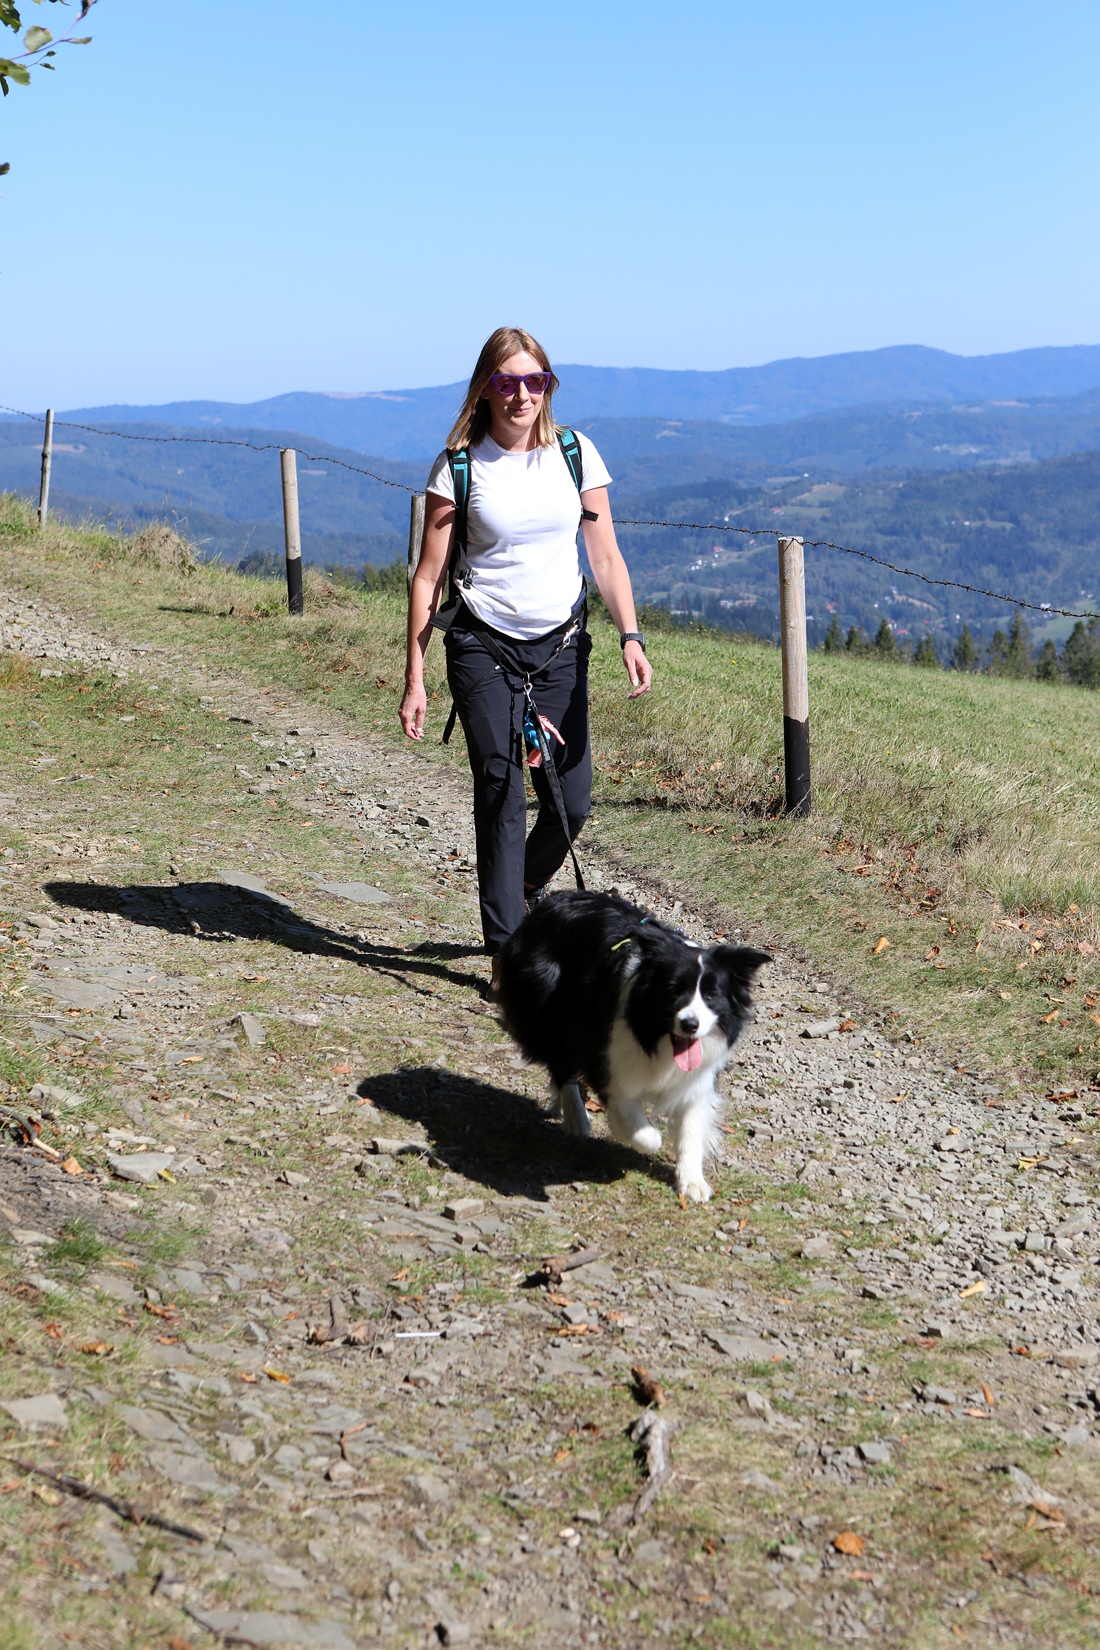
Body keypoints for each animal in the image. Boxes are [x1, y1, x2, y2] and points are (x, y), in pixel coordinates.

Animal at [496, 890, 769, 1202]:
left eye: (711, 995)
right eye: (672, 990)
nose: (690, 1024)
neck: (656, 1038)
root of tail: (552, 899)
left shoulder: (696, 1080)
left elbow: (690, 1128)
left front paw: (692, 1182)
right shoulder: (611, 1062)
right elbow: (641, 1130)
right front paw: (649, 1137)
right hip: (551, 1008)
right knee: (561, 1065)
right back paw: (577, 1117)